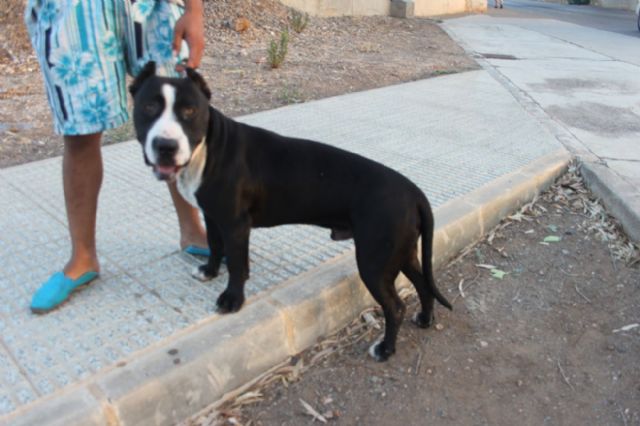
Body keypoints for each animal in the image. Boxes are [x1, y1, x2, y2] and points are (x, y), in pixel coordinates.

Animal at [129, 63, 450, 362]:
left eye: (190, 111)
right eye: (148, 107)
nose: (166, 145)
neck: (208, 148)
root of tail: (414, 192)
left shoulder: (234, 225)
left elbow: (237, 264)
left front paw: (232, 299)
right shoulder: (213, 217)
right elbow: (215, 246)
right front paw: (209, 271)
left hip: (374, 262)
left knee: (395, 307)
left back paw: (385, 349)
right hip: (401, 254)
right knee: (424, 286)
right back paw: (424, 319)